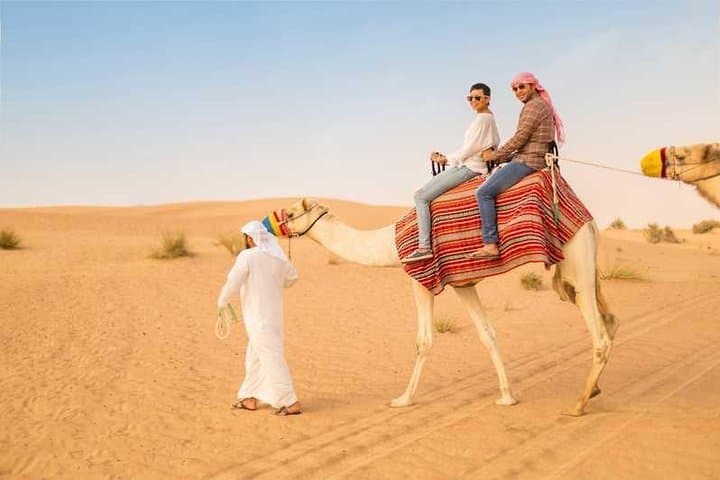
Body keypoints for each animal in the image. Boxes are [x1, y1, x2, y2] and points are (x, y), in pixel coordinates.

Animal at [283, 197, 617, 416]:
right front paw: (507, 396)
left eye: (290, 212)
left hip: (576, 265)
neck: (390, 244)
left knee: (599, 334)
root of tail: (589, 221)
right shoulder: (463, 284)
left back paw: (578, 404)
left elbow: (424, 341)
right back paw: (595, 389)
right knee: (611, 319)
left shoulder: (420, 279)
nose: (277, 224)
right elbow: (487, 334)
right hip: (586, 268)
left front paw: (402, 399)